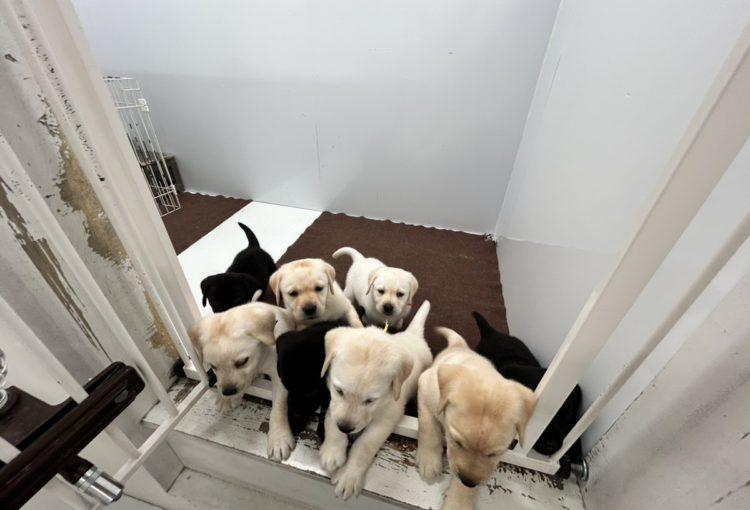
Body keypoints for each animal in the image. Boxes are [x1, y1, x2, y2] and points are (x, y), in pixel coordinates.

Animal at [188, 301, 297, 461]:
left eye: (242, 362)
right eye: (213, 367)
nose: (228, 392)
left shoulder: (279, 375)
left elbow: (278, 407)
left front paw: (279, 438)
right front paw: (226, 399)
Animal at [319, 301, 432, 500]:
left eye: (370, 400)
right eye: (339, 390)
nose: (345, 428)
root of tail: (413, 335)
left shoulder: (387, 418)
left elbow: (364, 445)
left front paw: (349, 476)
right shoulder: (333, 401)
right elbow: (331, 420)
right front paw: (332, 450)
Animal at [417, 327, 536, 510]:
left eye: (495, 453)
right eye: (457, 442)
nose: (469, 482)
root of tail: (460, 345)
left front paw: (459, 501)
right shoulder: (424, 385)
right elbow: (427, 425)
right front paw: (428, 459)